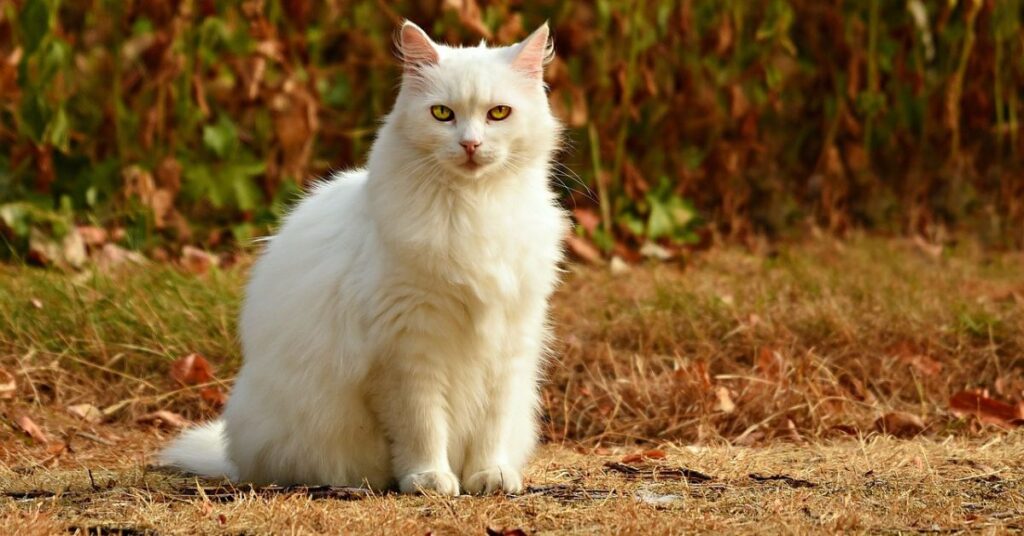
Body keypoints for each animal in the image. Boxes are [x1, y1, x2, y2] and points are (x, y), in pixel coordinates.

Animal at [157, 22, 569, 500]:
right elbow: (423, 425)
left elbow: (492, 425)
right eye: (442, 114)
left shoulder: (508, 340)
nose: (470, 144)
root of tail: (235, 455)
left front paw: (490, 475)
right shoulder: (407, 348)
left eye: (498, 114)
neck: (475, 208)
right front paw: (429, 479)